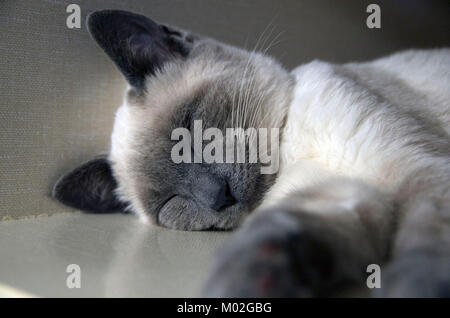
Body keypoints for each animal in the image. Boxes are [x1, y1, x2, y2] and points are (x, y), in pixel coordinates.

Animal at [51, 10, 448, 298]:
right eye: (170, 203)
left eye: (188, 128)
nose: (218, 196)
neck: (291, 153)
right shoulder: (342, 194)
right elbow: (280, 229)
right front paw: (251, 281)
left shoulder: (415, 172)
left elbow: (426, 248)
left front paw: (417, 288)